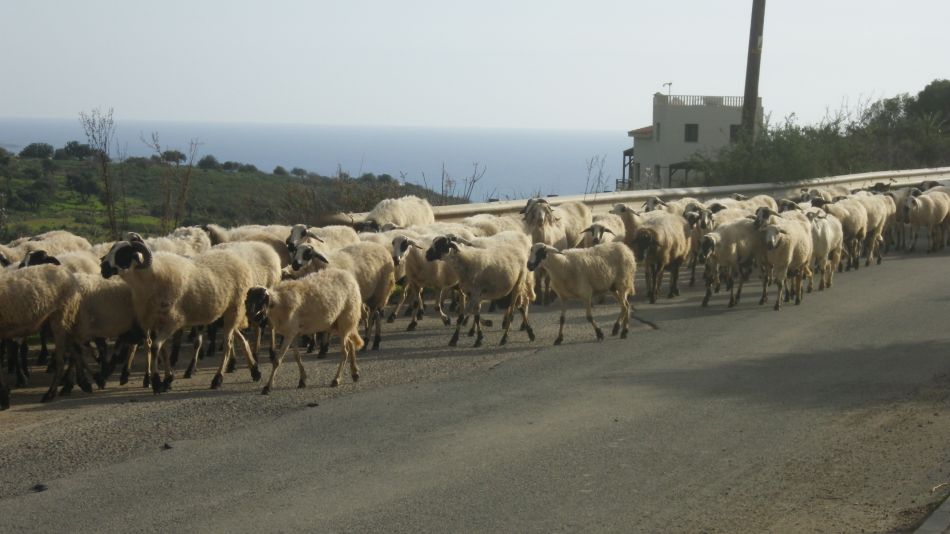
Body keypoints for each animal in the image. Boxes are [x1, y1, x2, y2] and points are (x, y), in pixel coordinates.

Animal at [100, 240, 263, 393]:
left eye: (124, 253)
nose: (103, 267)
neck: (147, 279)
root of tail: (240, 261)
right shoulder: (157, 322)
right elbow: (163, 350)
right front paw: (168, 379)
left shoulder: (172, 322)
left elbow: (155, 347)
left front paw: (157, 382)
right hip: (224, 314)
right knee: (242, 339)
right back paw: (255, 371)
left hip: (234, 309)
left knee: (228, 344)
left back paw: (217, 379)